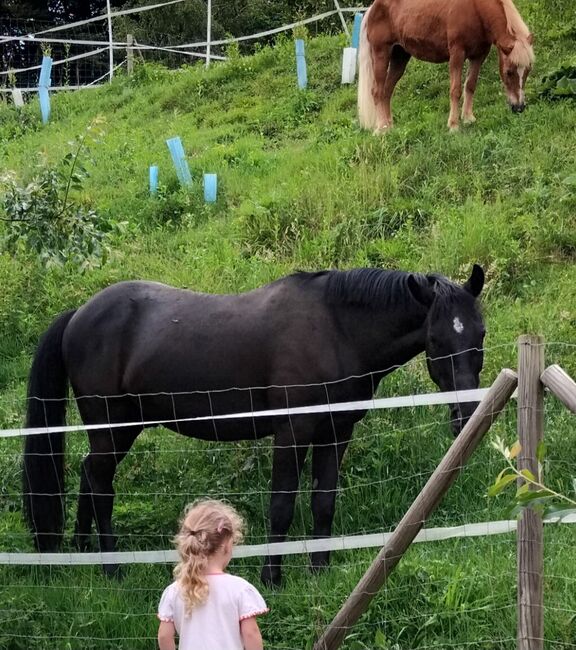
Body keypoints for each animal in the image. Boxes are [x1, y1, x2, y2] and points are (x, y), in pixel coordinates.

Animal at [23, 262, 486, 584]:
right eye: (436, 340)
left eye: (479, 334)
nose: (466, 415)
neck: (336, 330)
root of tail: (79, 314)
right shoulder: (292, 433)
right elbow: (281, 506)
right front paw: (272, 577)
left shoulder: (335, 433)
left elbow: (324, 503)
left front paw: (319, 572)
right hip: (111, 427)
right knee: (101, 484)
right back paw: (111, 569)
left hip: (122, 429)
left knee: (89, 474)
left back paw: (86, 551)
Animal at [360, 0, 536, 130]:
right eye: (508, 72)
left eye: (528, 71)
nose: (519, 107)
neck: (476, 9)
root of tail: (372, 9)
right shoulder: (457, 54)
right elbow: (455, 90)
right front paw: (453, 125)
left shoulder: (478, 56)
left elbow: (470, 85)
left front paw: (468, 118)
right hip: (381, 54)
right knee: (377, 91)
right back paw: (381, 128)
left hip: (400, 58)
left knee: (387, 91)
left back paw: (389, 125)